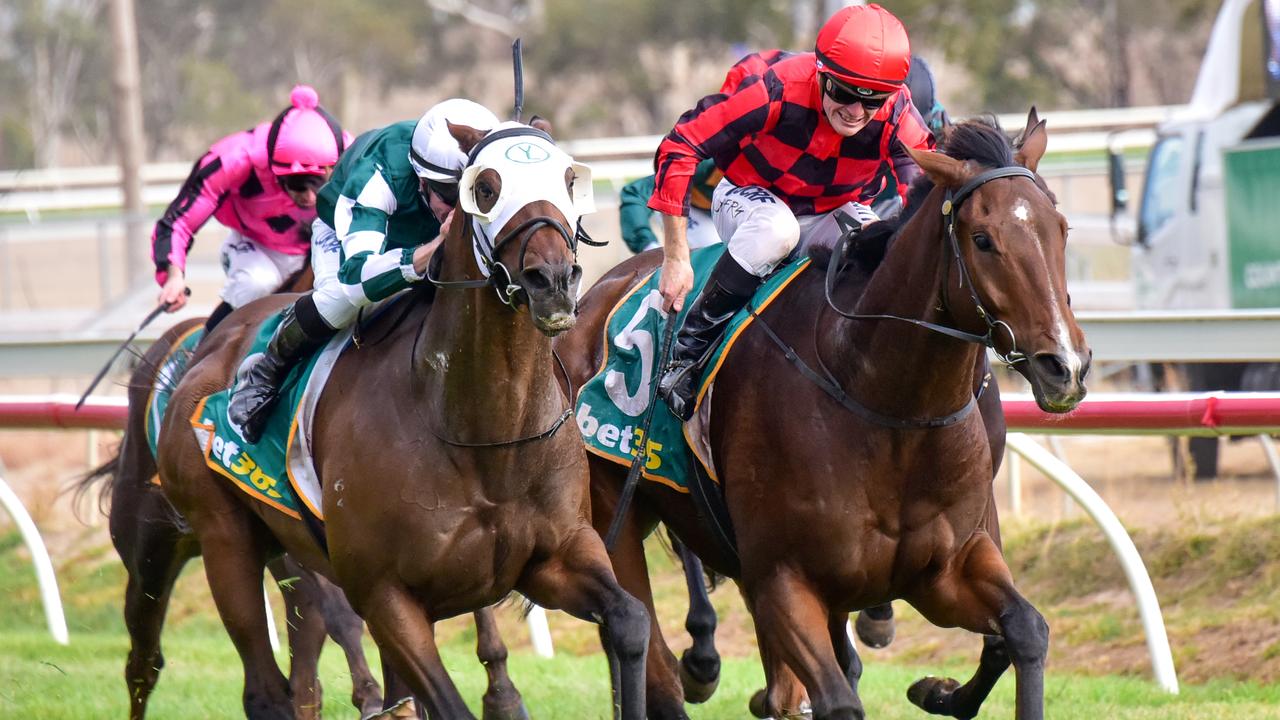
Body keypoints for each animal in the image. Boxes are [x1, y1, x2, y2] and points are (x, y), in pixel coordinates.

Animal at [152, 121, 650, 717]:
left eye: (569, 181)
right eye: (486, 189)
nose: (552, 279)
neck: (483, 436)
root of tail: (207, 348)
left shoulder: (556, 557)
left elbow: (630, 621)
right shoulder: (385, 595)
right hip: (225, 539)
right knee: (265, 689)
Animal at [555, 113, 1085, 717]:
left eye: (1061, 229)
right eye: (983, 240)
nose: (1065, 366)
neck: (883, 403)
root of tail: (594, 295)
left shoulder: (944, 569)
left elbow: (1023, 630)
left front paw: (936, 688)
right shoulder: (783, 579)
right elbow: (837, 696)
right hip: (613, 519)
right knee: (651, 660)